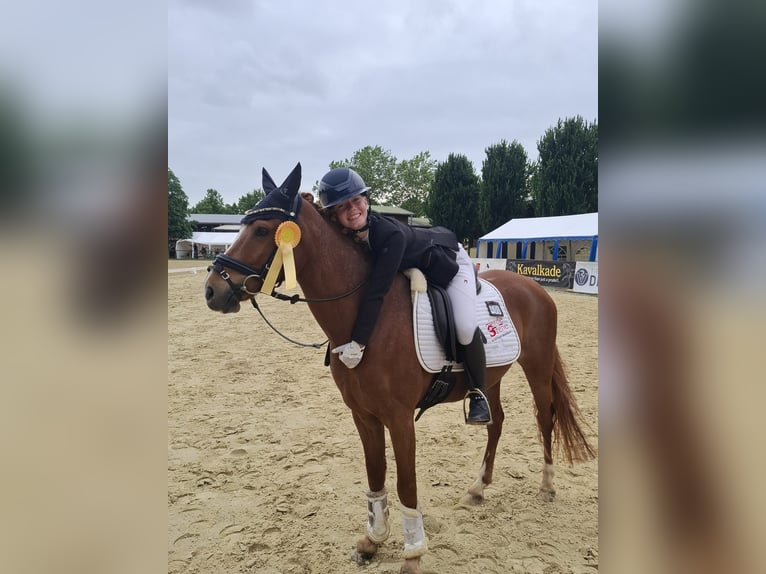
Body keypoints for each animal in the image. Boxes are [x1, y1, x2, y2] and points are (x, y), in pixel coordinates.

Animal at [204, 163, 596, 574]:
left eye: (263, 230)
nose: (213, 290)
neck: (364, 319)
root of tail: (534, 288)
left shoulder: (400, 418)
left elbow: (407, 484)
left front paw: (413, 554)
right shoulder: (364, 416)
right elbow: (376, 475)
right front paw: (373, 541)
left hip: (537, 365)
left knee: (545, 416)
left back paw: (547, 485)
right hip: (491, 377)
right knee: (496, 420)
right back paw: (478, 487)